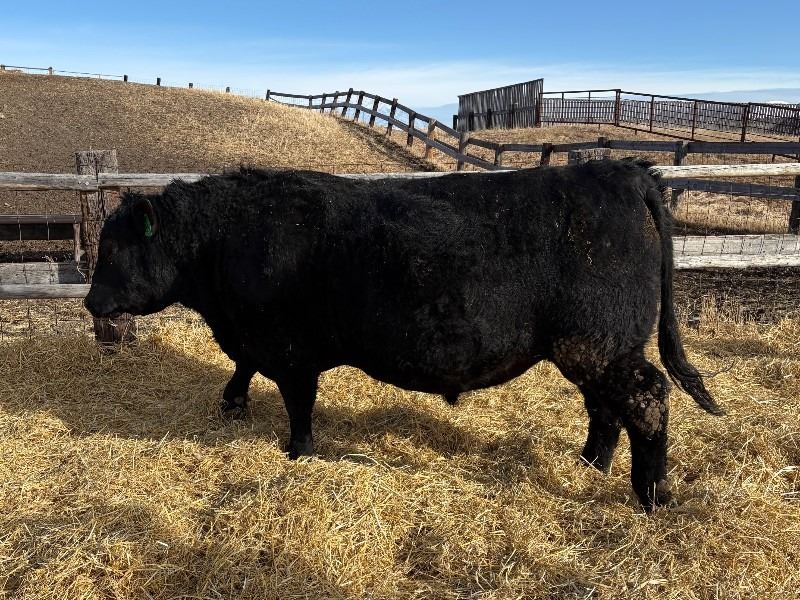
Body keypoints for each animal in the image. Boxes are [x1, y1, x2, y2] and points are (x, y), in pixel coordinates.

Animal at [84, 160, 724, 510]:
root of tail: (620, 170)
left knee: (647, 398)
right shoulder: (253, 338)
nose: (91, 302)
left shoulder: (290, 349)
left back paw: (651, 494)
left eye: (113, 249)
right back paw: (590, 464)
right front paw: (233, 405)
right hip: (595, 347)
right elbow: (241, 369)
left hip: (599, 342)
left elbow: (297, 402)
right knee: (605, 406)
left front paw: (298, 452)